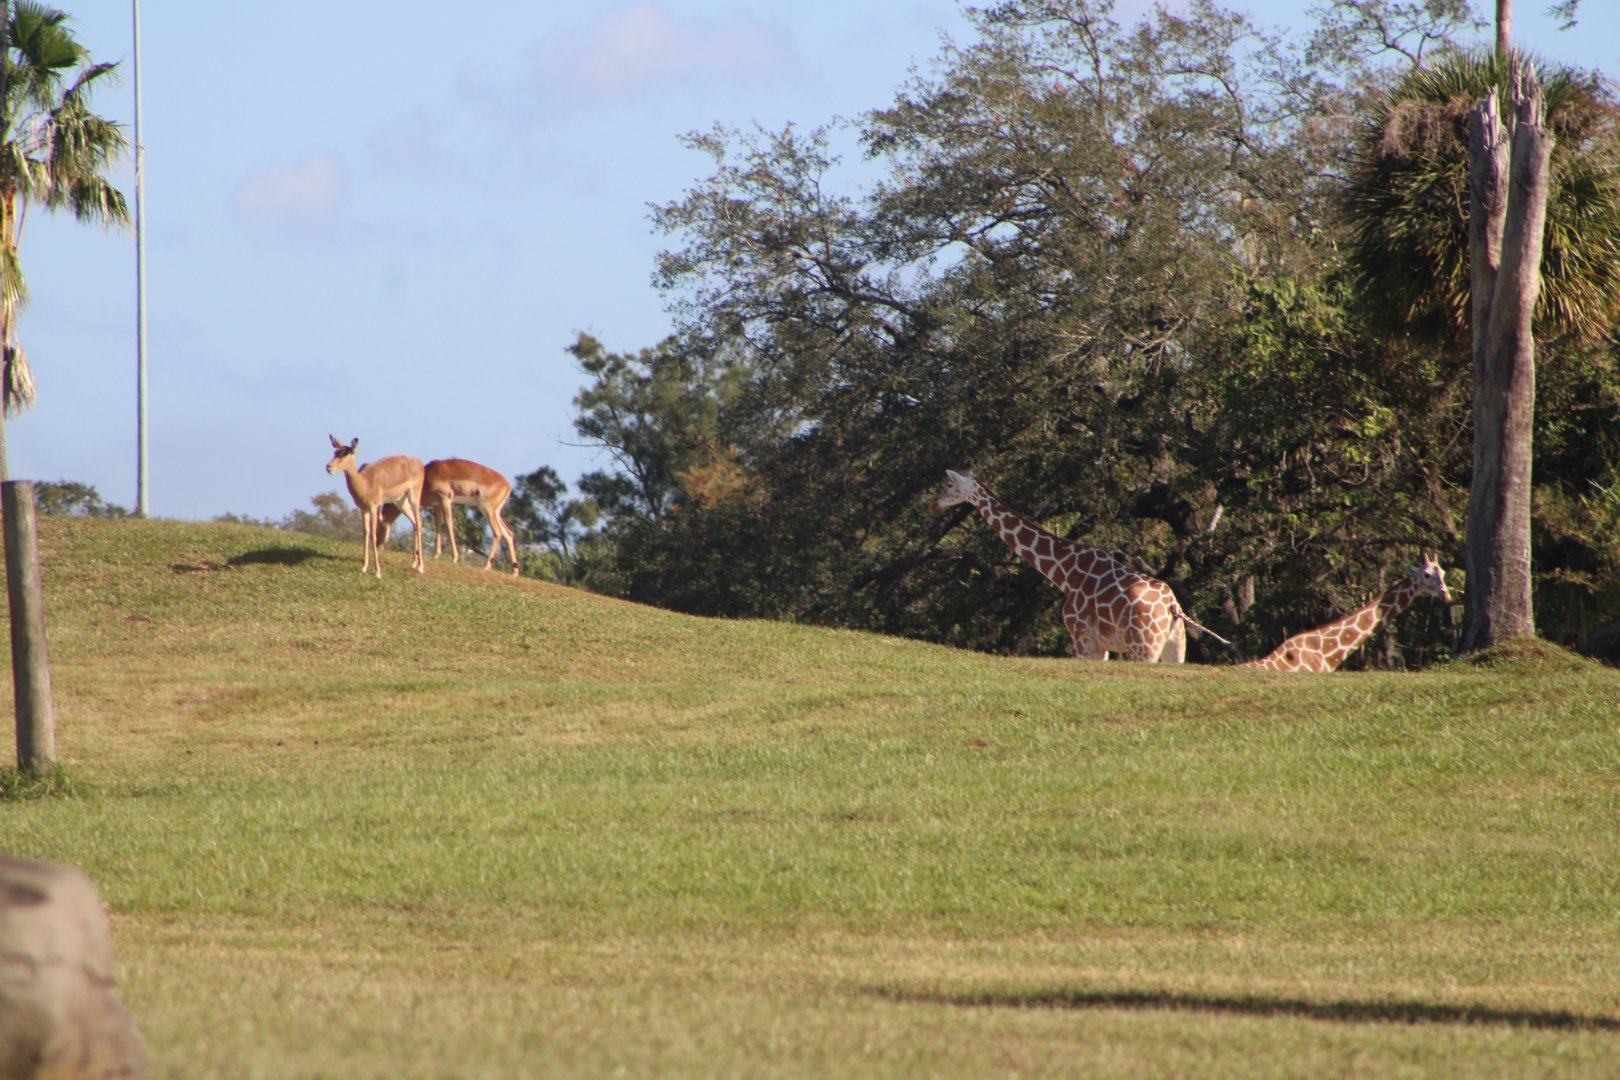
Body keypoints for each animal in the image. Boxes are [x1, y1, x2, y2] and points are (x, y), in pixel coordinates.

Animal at [325, 435, 426, 577]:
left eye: (345, 453)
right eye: (335, 452)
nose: (329, 467)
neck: (365, 483)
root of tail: (419, 462)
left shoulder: (374, 508)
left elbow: (373, 534)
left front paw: (378, 572)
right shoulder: (363, 509)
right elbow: (365, 533)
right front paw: (364, 567)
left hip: (414, 498)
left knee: (419, 521)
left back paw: (421, 567)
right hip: (401, 502)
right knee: (415, 523)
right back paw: (414, 564)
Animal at [376, 458, 519, 576]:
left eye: (379, 524)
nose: (378, 544)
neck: (427, 476)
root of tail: (507, 485)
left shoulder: (446, 500)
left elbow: (449, 526)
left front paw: (454, 558)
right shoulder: (437, 505)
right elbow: (438, 527)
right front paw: (436, 555)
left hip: (487, 510)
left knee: (498, 533)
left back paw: (487, 566)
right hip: (494, 512)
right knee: (508, 533)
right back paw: (514, 571)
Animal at [933, 469, 1228, 662]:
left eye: (948, 484)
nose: (934, 503)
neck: (1063, 571)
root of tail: (1172, 606)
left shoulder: (1082, 638)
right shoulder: (1100, 646)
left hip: (1144, 646)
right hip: (1175, 646)